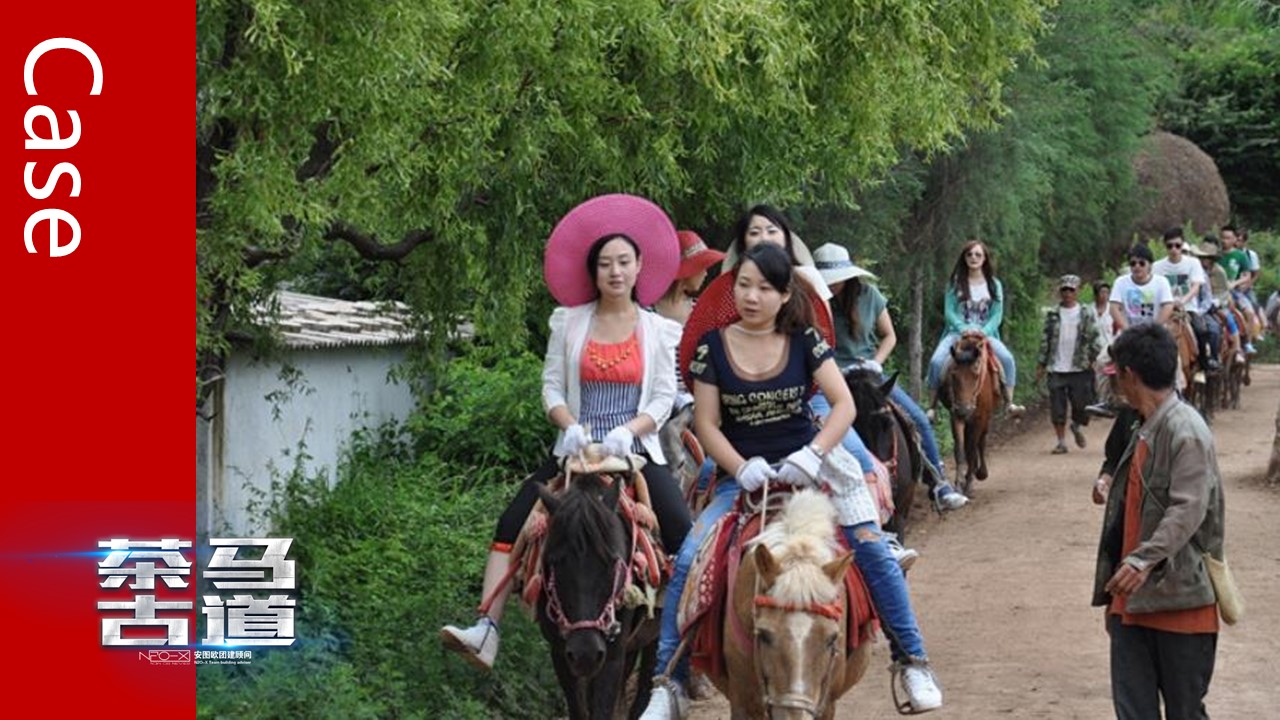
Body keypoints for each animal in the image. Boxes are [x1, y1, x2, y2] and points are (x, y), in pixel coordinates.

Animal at [535, 470, 660, 720]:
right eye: (555, 562)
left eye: (613, 563)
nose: (586, 652)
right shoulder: (561, 653)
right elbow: (579, 709)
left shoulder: (610, 656)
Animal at [940, 329, 1000, 494]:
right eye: (953, 374)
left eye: (976, 375)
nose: (964, 409)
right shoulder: (955, 416)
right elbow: (960, 449)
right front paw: (958, 483)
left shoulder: (979, 418)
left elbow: (972, 448)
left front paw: (968, 483)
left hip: (985, 418)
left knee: (981, 441)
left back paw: (981, 473)